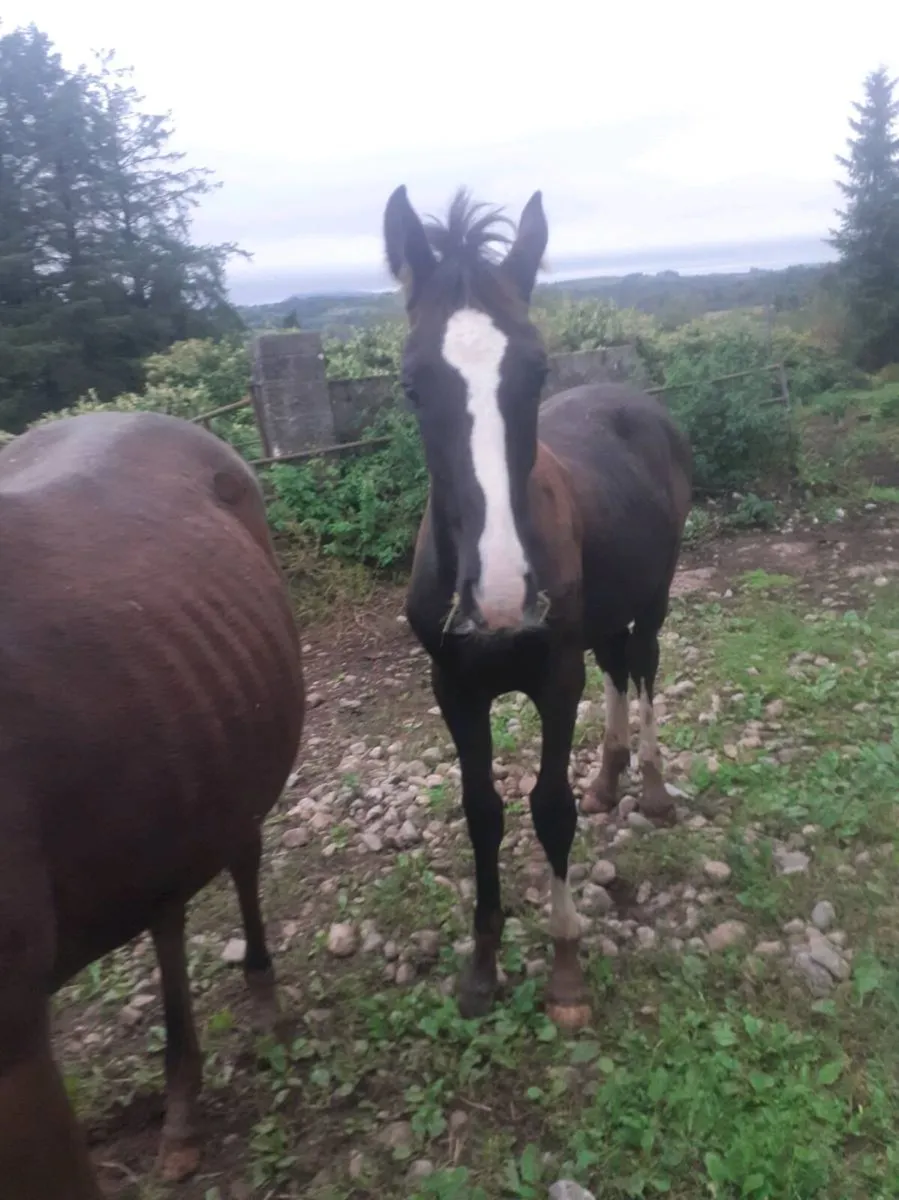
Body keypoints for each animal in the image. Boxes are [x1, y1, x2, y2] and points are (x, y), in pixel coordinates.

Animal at [383, 186, 692, 1030]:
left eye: (537, 367)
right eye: (411, 384)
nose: (498, 599)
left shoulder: (554, 678)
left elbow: (549, 809)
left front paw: (564, 970)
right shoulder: (453, 689)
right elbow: (481, 811)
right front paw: (482, 966)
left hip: (652, 599)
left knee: (642, 668)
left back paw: (651, 788)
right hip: (601, 616)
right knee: (615, 664)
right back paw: (609, 779)